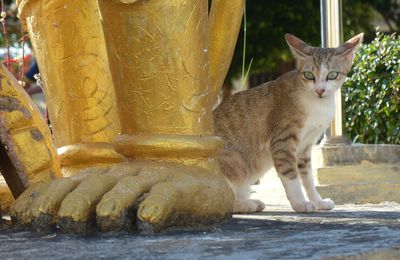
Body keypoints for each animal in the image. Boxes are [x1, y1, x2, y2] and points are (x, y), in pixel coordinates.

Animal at [214, 32, 364, 212]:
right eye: (309, 75)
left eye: (332, 75)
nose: (320, 90)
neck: (317, 105)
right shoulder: (282, 142)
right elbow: (292, 177)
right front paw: (300, 203)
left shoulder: (305, 147)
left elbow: (308, 179)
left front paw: (318, 201)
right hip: (235, 161)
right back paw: (246, 204)